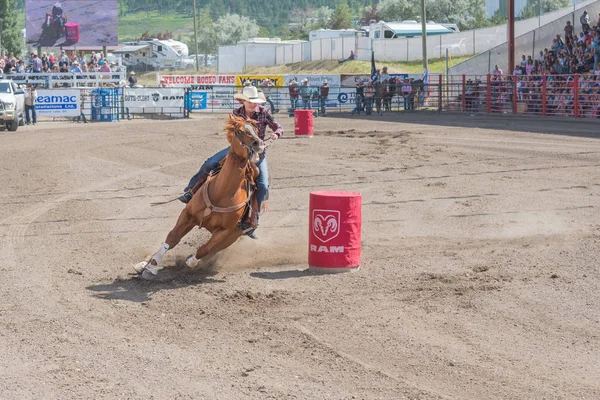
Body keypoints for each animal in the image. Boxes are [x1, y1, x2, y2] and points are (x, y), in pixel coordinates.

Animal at [137, 114, 266, 280]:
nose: (259, 144)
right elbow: (172, 238)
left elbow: (205, 249)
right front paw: (151, 266)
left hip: (233, 236)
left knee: (213, 250)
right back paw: (142, 264)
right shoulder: (188, 215)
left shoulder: (225, 231)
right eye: (239, 131)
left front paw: (191, 260)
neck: (222, 192)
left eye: (256, 130)